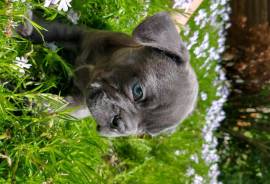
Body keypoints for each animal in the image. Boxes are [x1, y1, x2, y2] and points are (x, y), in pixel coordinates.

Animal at [17, 10, 198, 137]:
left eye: (143, 132)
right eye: (137, 91)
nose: (120, 127)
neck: (97, 66)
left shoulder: (83, 103)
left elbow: (65, 108)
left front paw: (39, 103)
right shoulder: (81, 34)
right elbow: (53, 31)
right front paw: (27, 25)